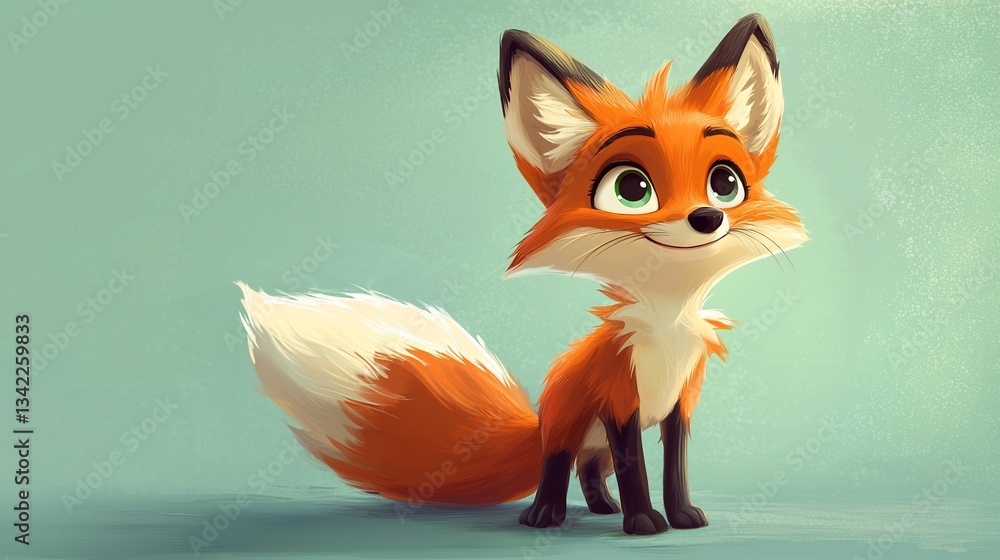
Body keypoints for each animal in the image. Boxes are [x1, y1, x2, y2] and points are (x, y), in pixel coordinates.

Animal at [237, 13, 807, 536]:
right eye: (632, 189)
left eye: (725, 182)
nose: (707, 218)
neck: (665, 331)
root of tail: (537, 417)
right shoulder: (619, 402)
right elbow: (637, 472)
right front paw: (645, 522)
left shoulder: (678, 405)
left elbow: (674, 468)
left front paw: (681, 515)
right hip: (566, 429)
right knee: (559, 468)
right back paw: (546, 516)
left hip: (591, 442)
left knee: (589, 470)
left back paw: (601, 508)